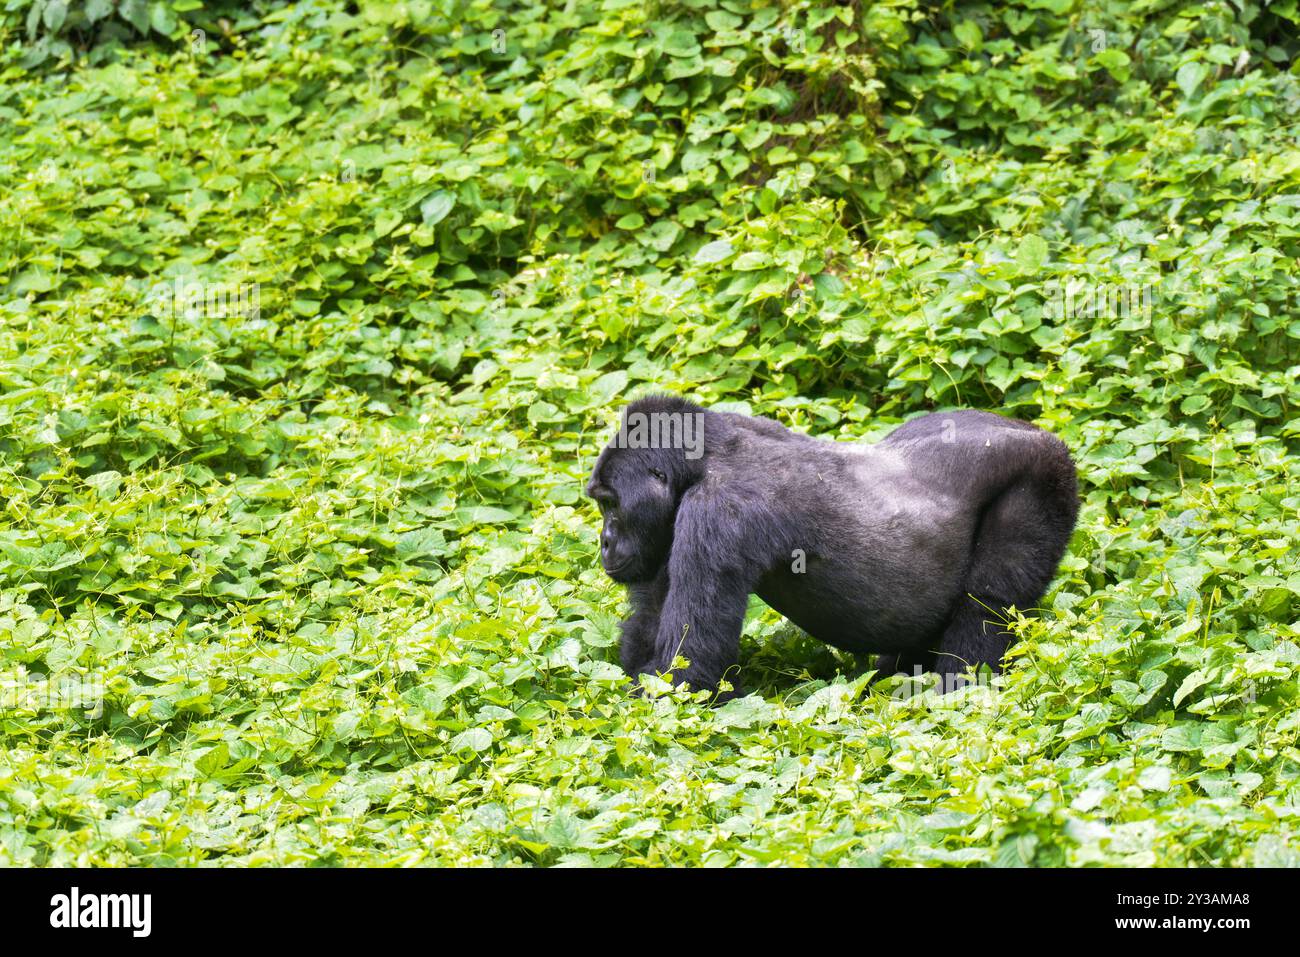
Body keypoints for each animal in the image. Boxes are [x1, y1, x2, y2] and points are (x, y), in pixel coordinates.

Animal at [587, 395, 1076, 696]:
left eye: (610, 504)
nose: (605, 542)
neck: (707, 458)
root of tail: (1041, 434)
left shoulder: (718, 512)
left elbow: (689, 671)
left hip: (1043, 477)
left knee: (987, 602)